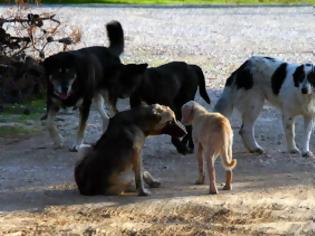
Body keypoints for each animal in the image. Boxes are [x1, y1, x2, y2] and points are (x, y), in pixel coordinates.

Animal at [42, 19, 149, 149]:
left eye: (70, 74)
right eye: (56, 74)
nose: (64, 88)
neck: (74, 85)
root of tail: (110, 51)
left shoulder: (85, 105)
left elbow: (82, 126)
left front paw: (77, 144)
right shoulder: (52, 102)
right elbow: (49, 123)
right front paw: (58, 140)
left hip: (108, 96)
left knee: (114, 113)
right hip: (96, 97)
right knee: (106, 118)